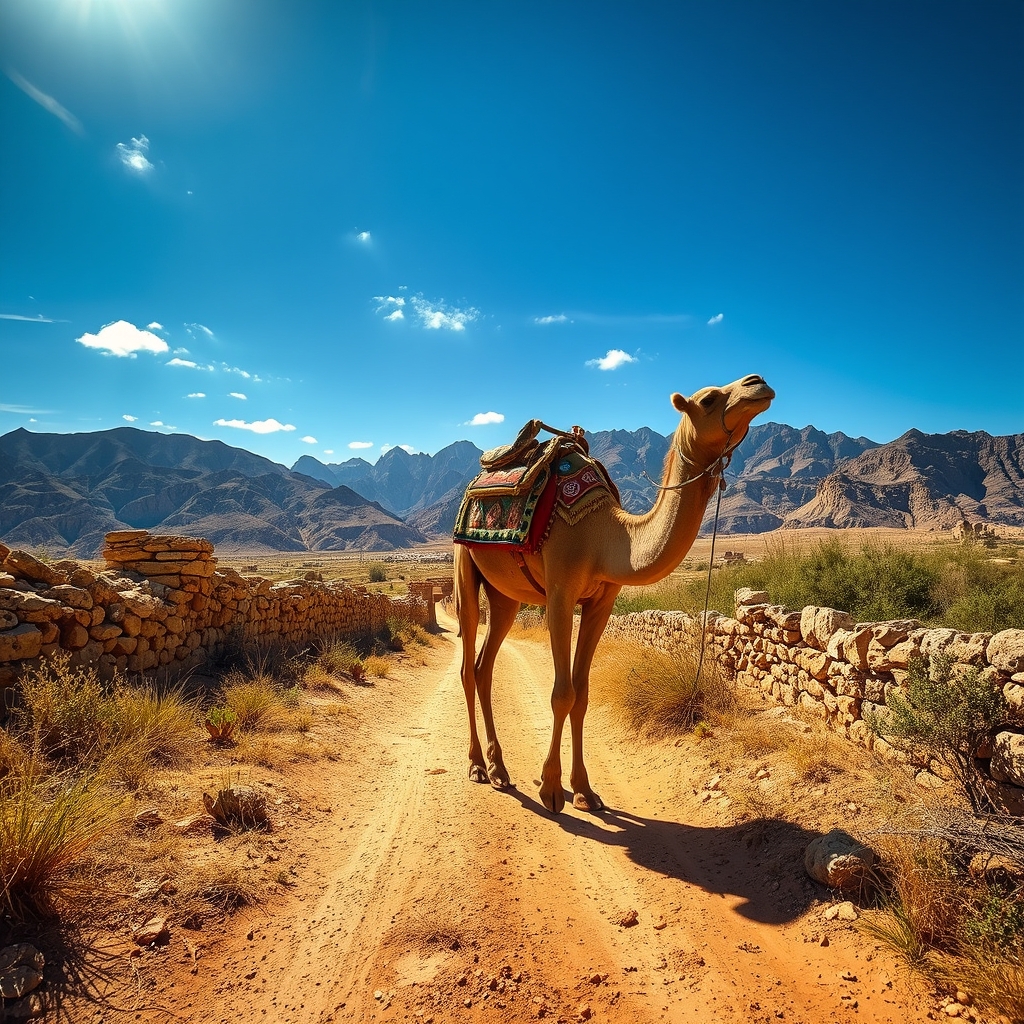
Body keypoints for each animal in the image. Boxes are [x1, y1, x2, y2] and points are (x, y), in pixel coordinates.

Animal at [454, 373, 775, 814]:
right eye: (709, 399)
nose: (758, 384)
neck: (606, 536)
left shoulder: (601, 602)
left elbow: (583, 694)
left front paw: (584, 791)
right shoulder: (560, 595)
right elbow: (562, 693)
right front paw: (551, 789)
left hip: (506, 596)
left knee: (485, 667)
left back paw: (499, 768)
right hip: (464, 567)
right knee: (468, 666)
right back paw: (476, 767)